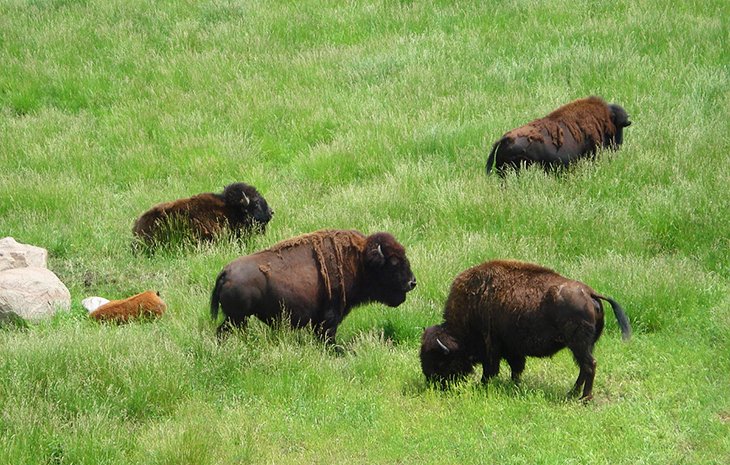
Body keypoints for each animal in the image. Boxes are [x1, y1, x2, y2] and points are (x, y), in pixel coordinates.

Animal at [209, 228, 416, 340]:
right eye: (394, 262)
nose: (412, 282)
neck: (359, 260)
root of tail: (225, 272)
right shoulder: (330, 317)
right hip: (237, 319)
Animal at [418, 260, 628, 400]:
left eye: (440, 361)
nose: (432, 384)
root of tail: (590, 293)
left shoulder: (491, 346)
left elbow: (491, 369)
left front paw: (483, 385)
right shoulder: (512, 349)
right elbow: (516, 367)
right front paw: (514, 384)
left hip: (579, 345)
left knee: (589, 365)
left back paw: (584, 398)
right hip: (583, 345)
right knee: (584, 367)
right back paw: (572, 393)